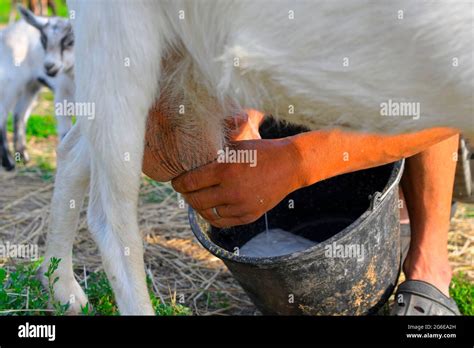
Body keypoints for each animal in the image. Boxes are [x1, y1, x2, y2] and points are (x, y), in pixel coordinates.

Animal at [0, 4, 74, 169]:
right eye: (43, 41)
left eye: (70, 42)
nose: (49, 66)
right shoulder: (62, 95)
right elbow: (66, 133)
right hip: (10, 82)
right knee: (3, 114)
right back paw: (8, 162)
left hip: (31, 85)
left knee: (19, 113)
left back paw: (23, 156)